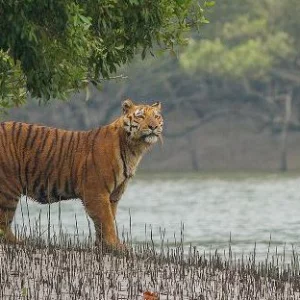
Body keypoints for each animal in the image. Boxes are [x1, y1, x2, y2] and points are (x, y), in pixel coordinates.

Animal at [0, 99, 164, 251]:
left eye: (156, 116)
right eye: (141, 116)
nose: (153, 126)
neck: (134, 149)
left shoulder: (113, 195)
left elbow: (108, 218)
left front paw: (103, 245)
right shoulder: (96, 192)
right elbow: (107, 220)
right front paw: (115, 246)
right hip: (8, 188)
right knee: (4, 223)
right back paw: (19, 242)